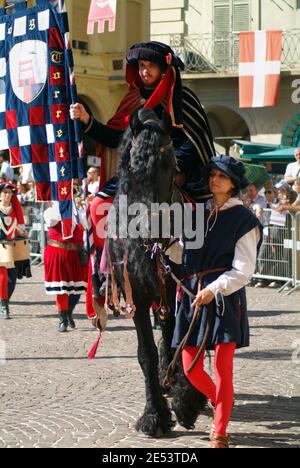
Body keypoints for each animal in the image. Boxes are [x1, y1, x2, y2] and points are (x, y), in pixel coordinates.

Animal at [106, 108, 206, 436]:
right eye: (131, 165)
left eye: (170, 164)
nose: (150, 227)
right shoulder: (135, 292)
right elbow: (146, 353)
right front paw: (154, 415)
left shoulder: (182, 287)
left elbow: (180, 337)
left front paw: (187, 400)